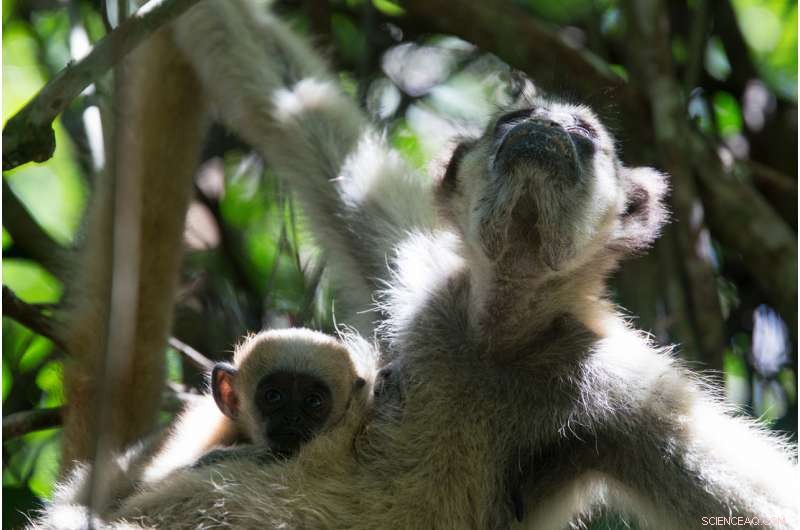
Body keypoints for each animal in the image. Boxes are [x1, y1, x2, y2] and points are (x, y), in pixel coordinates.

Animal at [35, 0, 798, 528]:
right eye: (511, 119)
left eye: (584, 137)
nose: (544, 127)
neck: (493, 337)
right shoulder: (429, 289)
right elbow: (292, 109)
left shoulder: (620, 386)